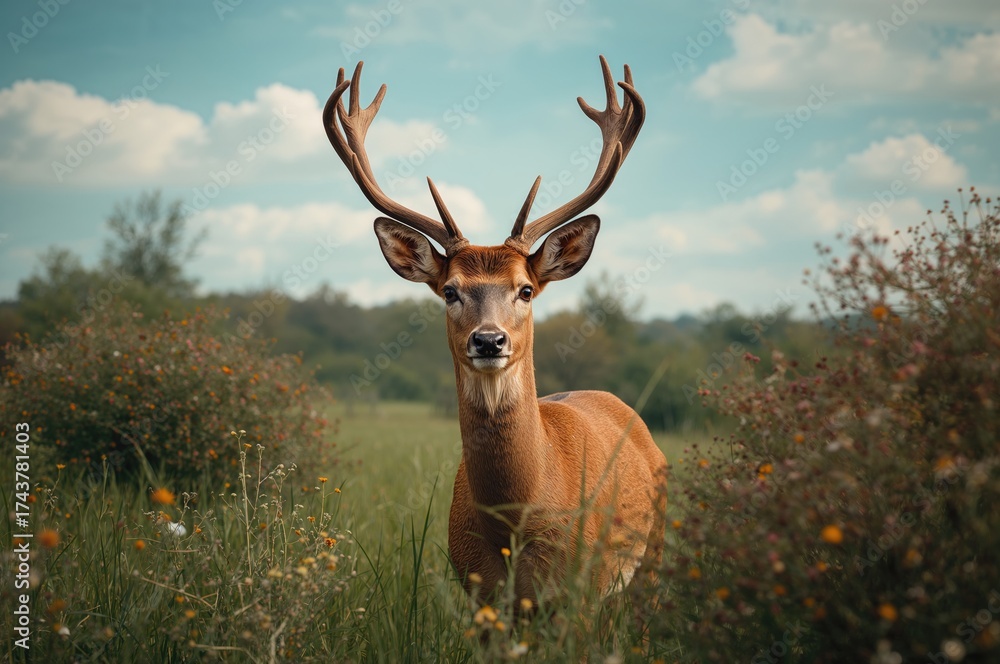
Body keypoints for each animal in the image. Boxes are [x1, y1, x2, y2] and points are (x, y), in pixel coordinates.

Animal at [323, 56, 667, 607]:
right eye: (450, 291)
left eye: (525, 289)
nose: (488, 340)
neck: (516, 522)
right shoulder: (478, 593)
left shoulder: (581, 594)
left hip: (650, 558)